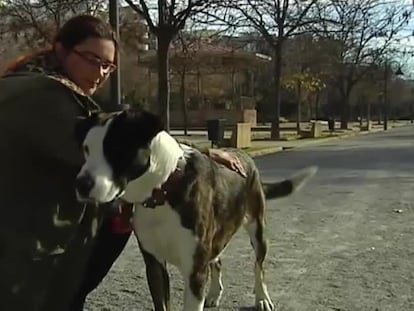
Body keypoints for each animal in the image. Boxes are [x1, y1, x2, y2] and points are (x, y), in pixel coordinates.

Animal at [74, 108, 318, 310]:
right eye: (86, 150)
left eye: (116, 148)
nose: (81, 184)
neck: (163, 190)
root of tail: (244, 155)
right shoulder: (154, 265)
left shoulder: (195, 272)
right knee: (217, 259)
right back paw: (215, 293)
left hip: (257, 228)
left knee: (259, 267)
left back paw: (262, 298)